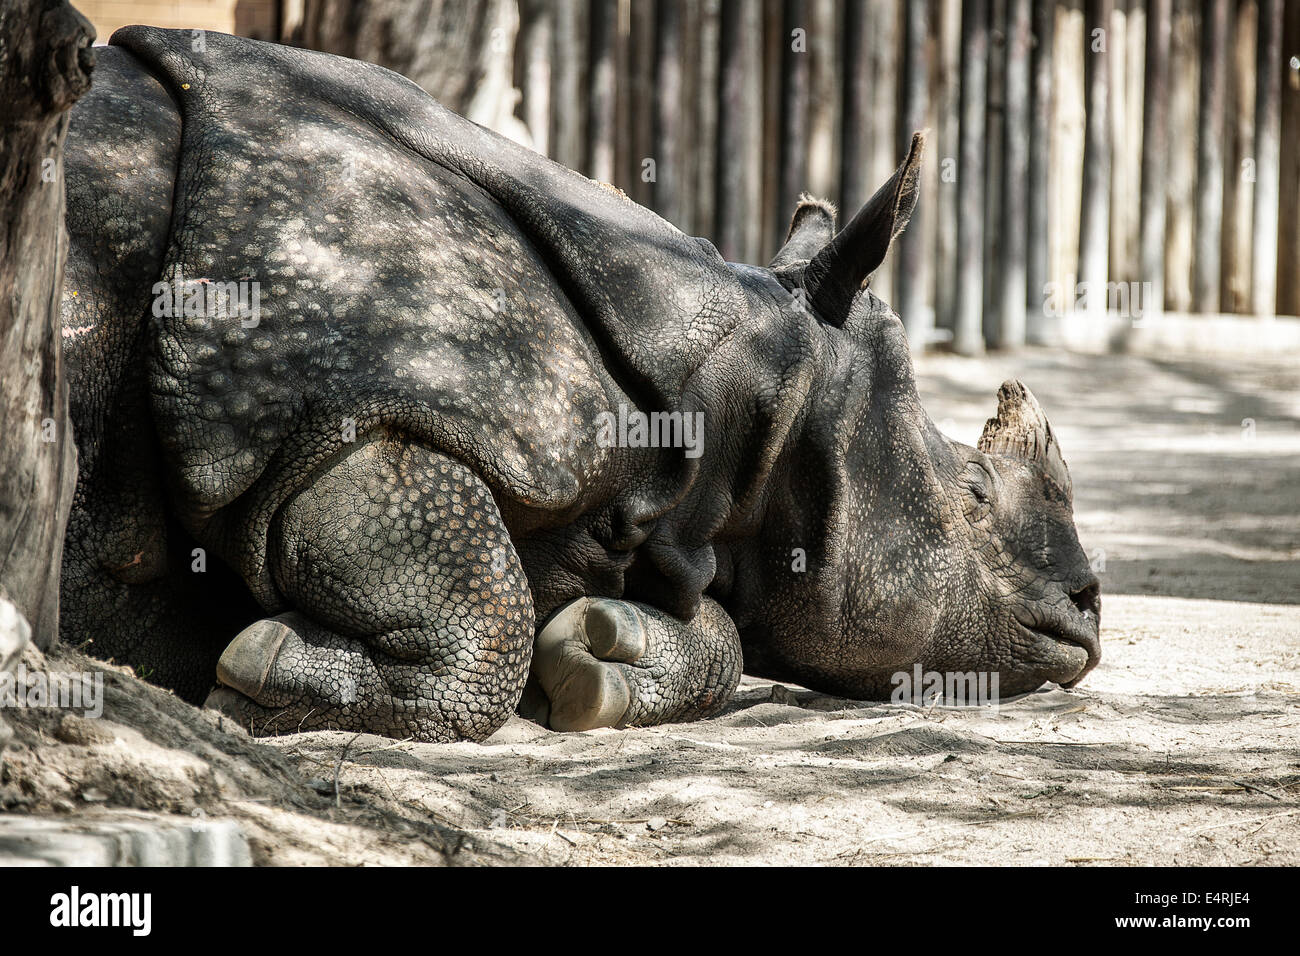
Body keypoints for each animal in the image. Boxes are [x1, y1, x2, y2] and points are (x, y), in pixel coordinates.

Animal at [58, 26, 1097, 743]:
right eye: (972, 493)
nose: (1090, 606)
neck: (741, 392)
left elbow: (698, 626)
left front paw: (600, 657)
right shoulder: (319, 397)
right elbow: (479, 609)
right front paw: (257, 668)